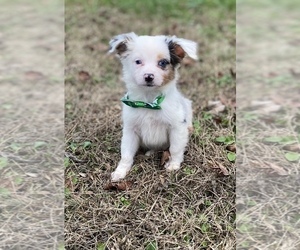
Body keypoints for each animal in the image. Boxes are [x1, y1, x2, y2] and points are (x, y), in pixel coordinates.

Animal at [109, 32, 198, 182]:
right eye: (138, 61)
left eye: (162, 63)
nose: (148, 77)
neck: (149, 101)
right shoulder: (130, 129)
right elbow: (126, 153)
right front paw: (120, 171)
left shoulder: (177, 126)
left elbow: (175, 148)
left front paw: (173, 165)